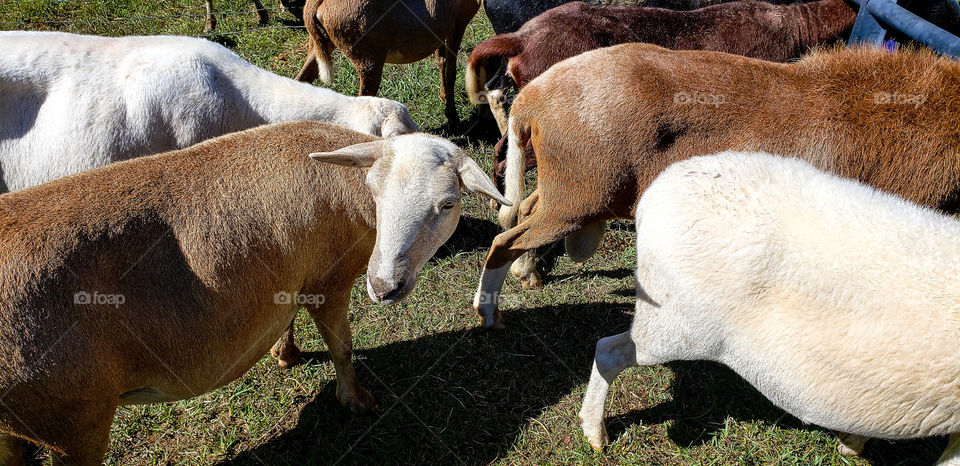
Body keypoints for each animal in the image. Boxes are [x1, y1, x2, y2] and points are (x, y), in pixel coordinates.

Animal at [0, 121, 509, 464]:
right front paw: (356, 399)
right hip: (73, 420)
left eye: (447, 203)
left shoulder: (291, 277)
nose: (384, 285)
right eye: (374, 190)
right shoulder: (328, 279)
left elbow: (286, 317)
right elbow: (342, 348)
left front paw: (285, 353)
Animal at [294, 0, 480, 124]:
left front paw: (443, 97)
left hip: (319, 46)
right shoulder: (458, 23)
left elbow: (441, 61)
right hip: (369, 62)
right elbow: (451, 70)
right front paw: (453, 117)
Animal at [473, 43, 960, 328]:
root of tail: (531, 100)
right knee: (504, 238)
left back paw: (529, 276)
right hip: (579, 194)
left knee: (521, 212)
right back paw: (490, 314)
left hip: (569, 187)